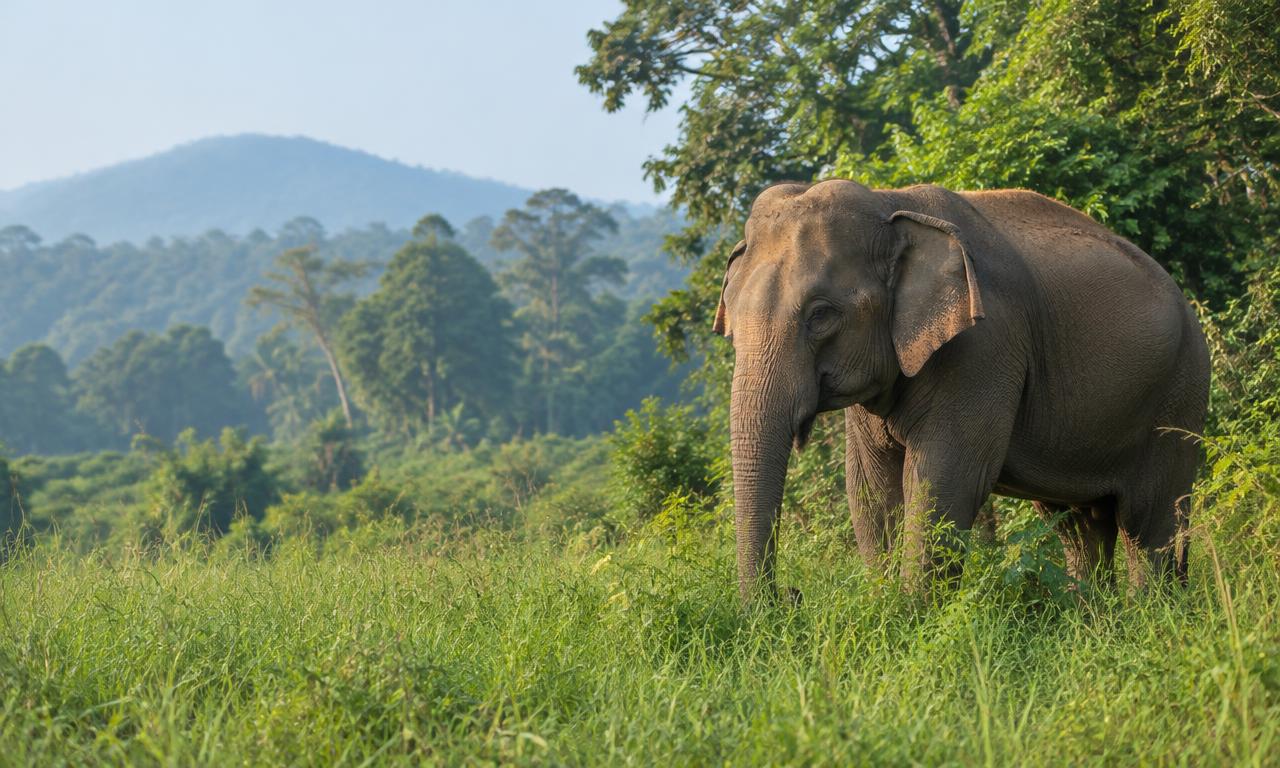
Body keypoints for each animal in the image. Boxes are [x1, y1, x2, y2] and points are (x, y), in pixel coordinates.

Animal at [714, 180, 1210, 602]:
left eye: (821, 315)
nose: (790, 595)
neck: (889, 202)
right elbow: (871, 490)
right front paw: (885, 607)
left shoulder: (984, 347)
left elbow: (944, 479)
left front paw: (912, 618)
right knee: (1080, 524)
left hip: (1178, 394)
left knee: (1148, 521)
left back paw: (1149, 614)